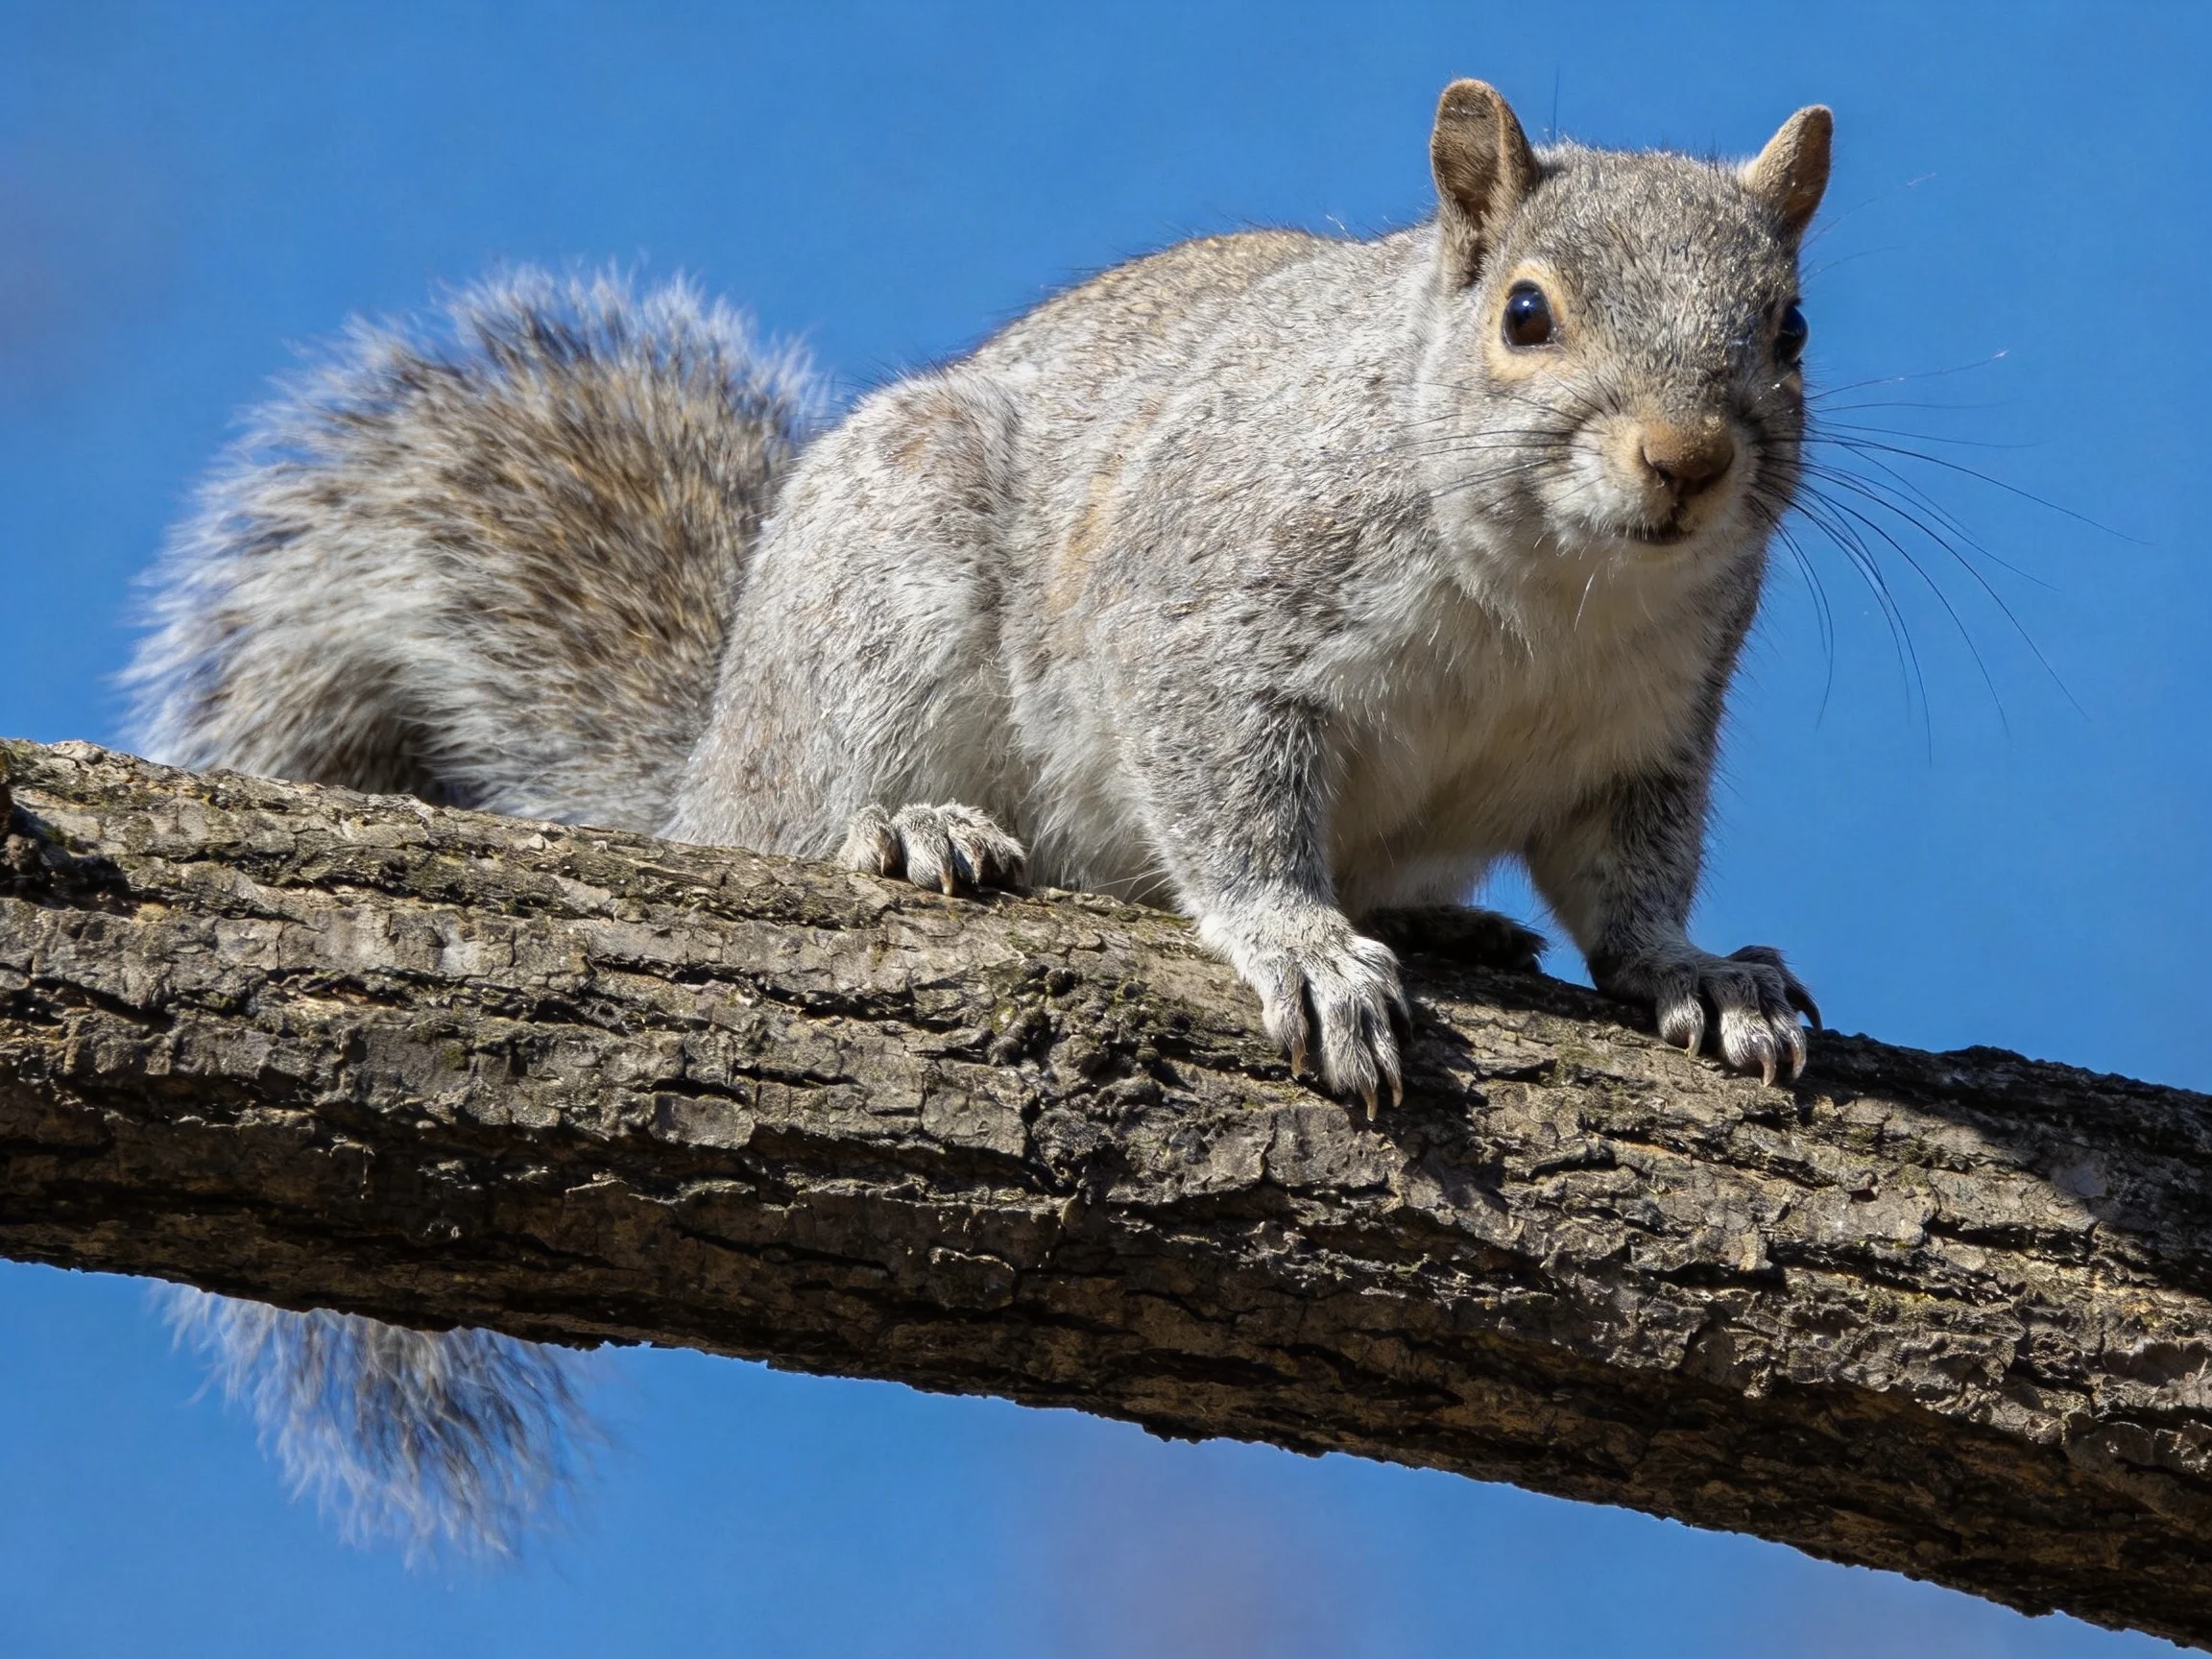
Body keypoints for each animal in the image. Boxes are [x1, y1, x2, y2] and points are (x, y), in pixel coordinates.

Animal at [128, 81, 1829, 1552]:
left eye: (1789, 327)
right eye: (1525, 314)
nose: (1688, 463)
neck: (1554, 588)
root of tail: (712, 757)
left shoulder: (1645, 739)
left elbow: (1629, 886)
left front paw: (1696, 974)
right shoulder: (1205, 617)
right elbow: (1222, 792)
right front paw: (1299, 946)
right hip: (882, 601)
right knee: (791, 823)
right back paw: (905, 834)